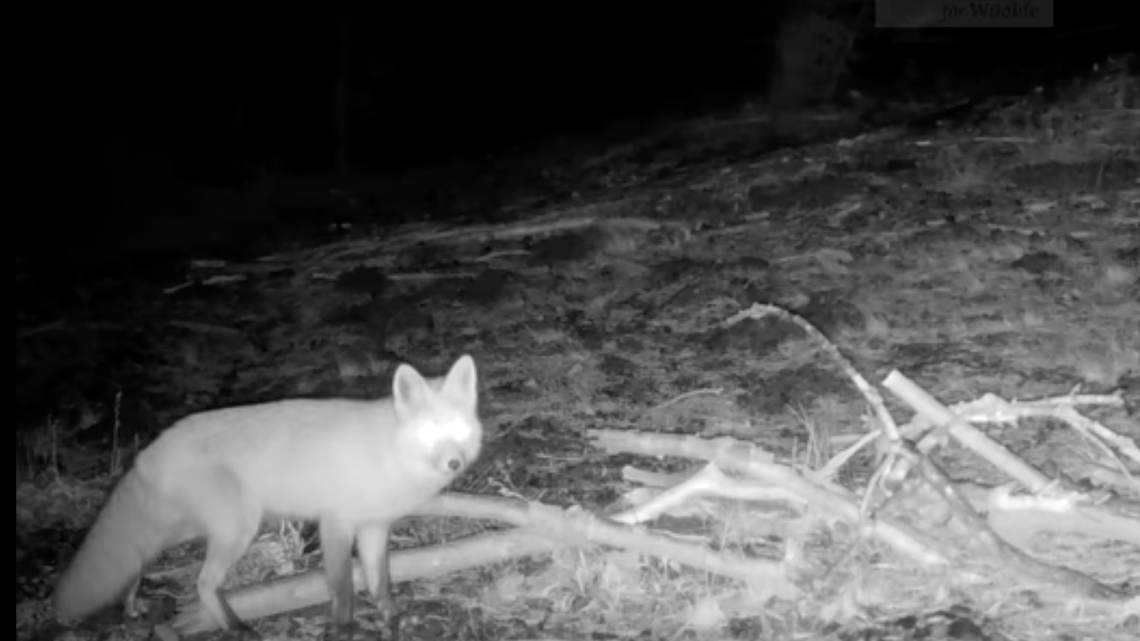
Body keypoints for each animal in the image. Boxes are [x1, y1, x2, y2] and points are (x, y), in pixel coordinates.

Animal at [52, 354, 482, 638]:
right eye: (430, 432)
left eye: (459, 430)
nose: (454, 463)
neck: (387, 453)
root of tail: (151, 448)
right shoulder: (336, 524)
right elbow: (342, 590)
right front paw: (344, 629)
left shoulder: (374, 527)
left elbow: (381, 583)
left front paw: (392, 618)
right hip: (237, 529)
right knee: (202, 583)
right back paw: (235, 628)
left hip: (199, 528)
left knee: (139, 556)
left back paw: (131, 601)